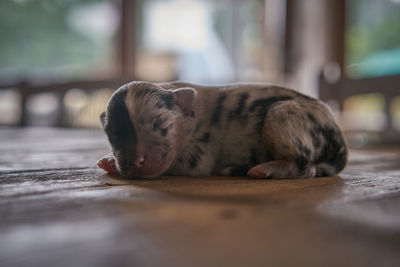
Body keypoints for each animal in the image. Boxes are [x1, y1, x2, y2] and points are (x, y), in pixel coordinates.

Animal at [97, 80, 346, 179]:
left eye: (159, 123)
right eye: (112, 134)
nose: (133, 161)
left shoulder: (198, 155)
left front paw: (109, 163)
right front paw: (110, 161)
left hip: (282, 114)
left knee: (306, 166)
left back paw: (263, 169)